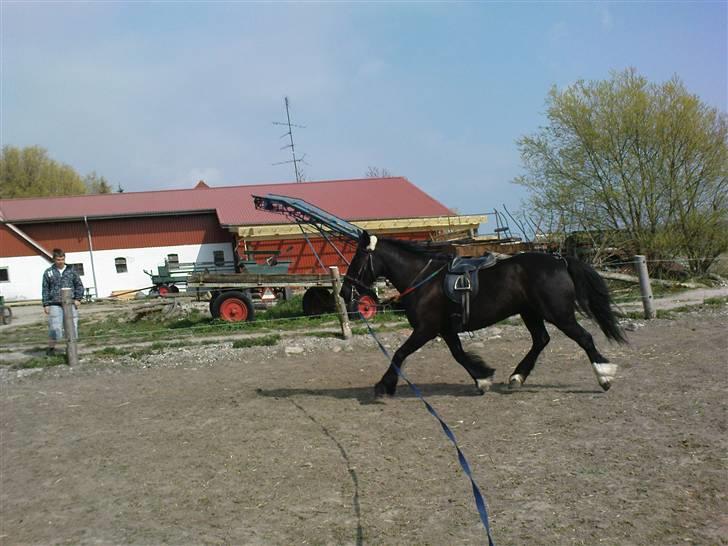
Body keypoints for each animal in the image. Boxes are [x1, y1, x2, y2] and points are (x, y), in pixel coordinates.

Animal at [340, 231, 627, 397]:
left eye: (356, 260)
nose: (343, 292)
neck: (422, 279)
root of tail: (560, 260)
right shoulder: (445, 329)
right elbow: (458, 354)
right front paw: (482, 378)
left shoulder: (426, 329)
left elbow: (400, 353)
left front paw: (383, 386)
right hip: (530, 313)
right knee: (541, 340)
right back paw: (516, 377)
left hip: (558, 313)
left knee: (584, 338)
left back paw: (604, 375)